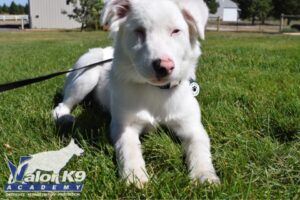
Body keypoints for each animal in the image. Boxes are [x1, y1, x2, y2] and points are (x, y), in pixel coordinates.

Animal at [52, 0, 219, 188]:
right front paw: (134, 177)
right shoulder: (124, 127)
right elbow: (129, 149)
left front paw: (204, 176)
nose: (164, 67)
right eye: (139, 31)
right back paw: (64, 116)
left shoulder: (192, 127)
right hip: (88, 72)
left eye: (176, 31)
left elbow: (200, 148)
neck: (155, 91)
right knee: (62, 104)